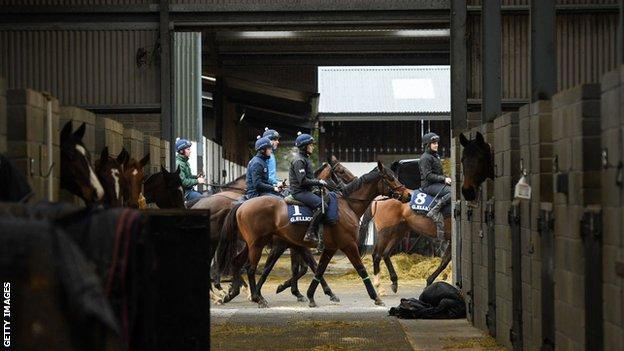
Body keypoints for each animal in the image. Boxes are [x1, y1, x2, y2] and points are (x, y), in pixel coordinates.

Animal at [217, 162, 412, 308]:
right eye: (390, 178)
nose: (408, 195)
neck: (347, 205)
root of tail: (241, 205)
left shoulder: (323, 247)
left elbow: (316, 269)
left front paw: (310, 295)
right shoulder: (347, 244)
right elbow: (360, 269)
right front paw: (375, 297)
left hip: (251, 244)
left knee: (237, 262)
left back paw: (235, 293)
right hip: (256, 244)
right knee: (250, 268)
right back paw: (256, 298)